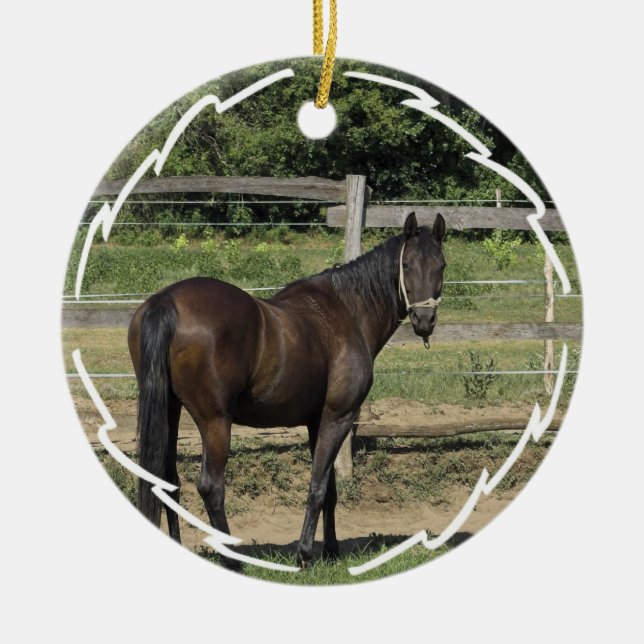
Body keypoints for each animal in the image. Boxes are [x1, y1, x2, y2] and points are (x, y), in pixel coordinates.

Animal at [127, 211, 446, 568]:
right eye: (406, 265)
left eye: (441, 266)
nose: (424, 319)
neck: (349, 312)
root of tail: (166, 301)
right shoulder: (339, 417)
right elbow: (318, 487)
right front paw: (305, 554)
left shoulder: (317, 421)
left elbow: (330, 490)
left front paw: (331, 550)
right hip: (215, 421)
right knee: (211, 487)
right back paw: (233, 560)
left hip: (170, 408)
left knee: (166, 479)